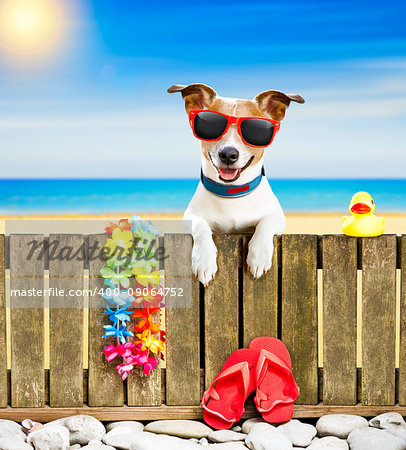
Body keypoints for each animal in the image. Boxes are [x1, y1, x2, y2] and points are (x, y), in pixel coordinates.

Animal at [167, 84, 302, 286]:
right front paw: (204, 261)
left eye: (255, 130)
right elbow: (201, 226)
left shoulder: (277, 216)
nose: (228, 154)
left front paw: (259, 256)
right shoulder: (190, 216)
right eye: (211, 125)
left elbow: (265, 224)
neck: (232, 192)